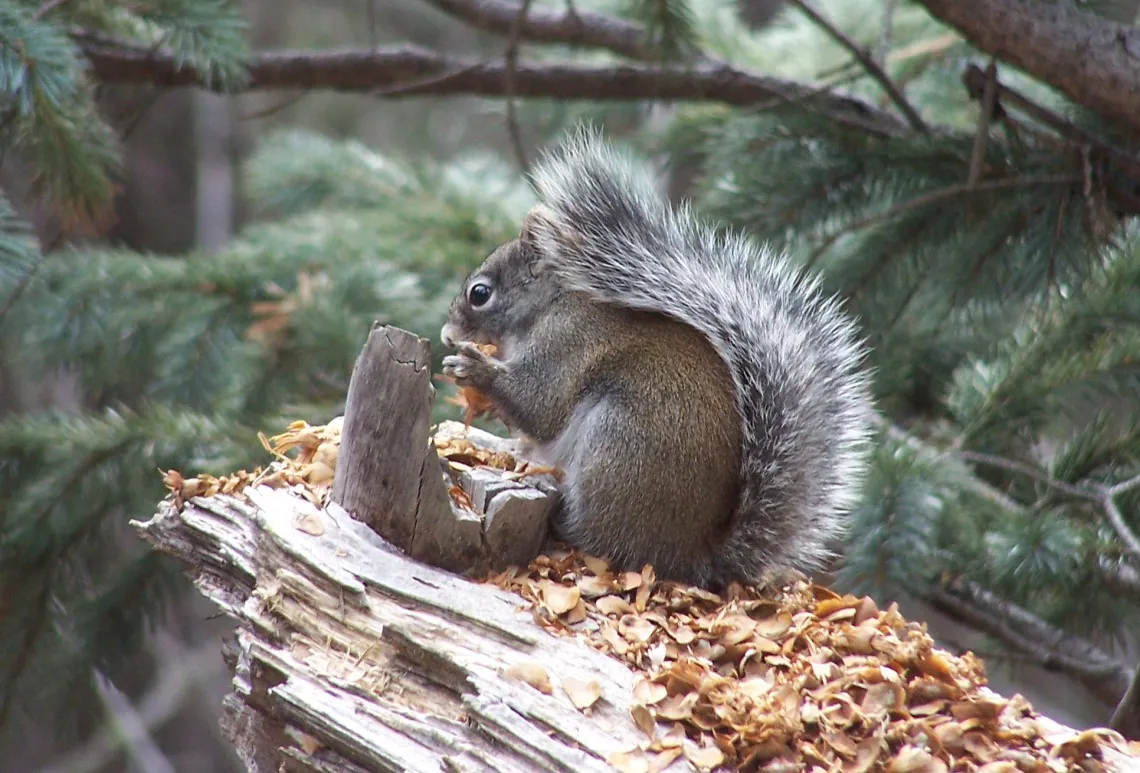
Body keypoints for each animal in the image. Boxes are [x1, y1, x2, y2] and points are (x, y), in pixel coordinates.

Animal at [440, 129, 866, 588]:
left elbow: (542, 405)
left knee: (603, 540)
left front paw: (475, 369)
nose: (446, 336)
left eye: (480, 293)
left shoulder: (568, 343)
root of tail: (693, 557)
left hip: (616, 448)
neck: (552, 303)